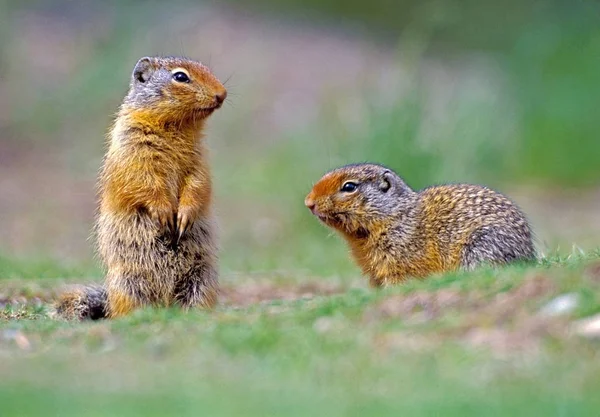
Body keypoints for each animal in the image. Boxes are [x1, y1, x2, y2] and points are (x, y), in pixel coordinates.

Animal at [53, 53, 227, 316]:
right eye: (180, 77)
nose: (222, 94)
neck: (177, 127)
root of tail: (166, 305)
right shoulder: (134, 149)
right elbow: (144, 181)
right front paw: (164, 213)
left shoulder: (199, 160)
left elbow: (198, 183)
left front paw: (184, 216)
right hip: (128, 282)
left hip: (201, 278)